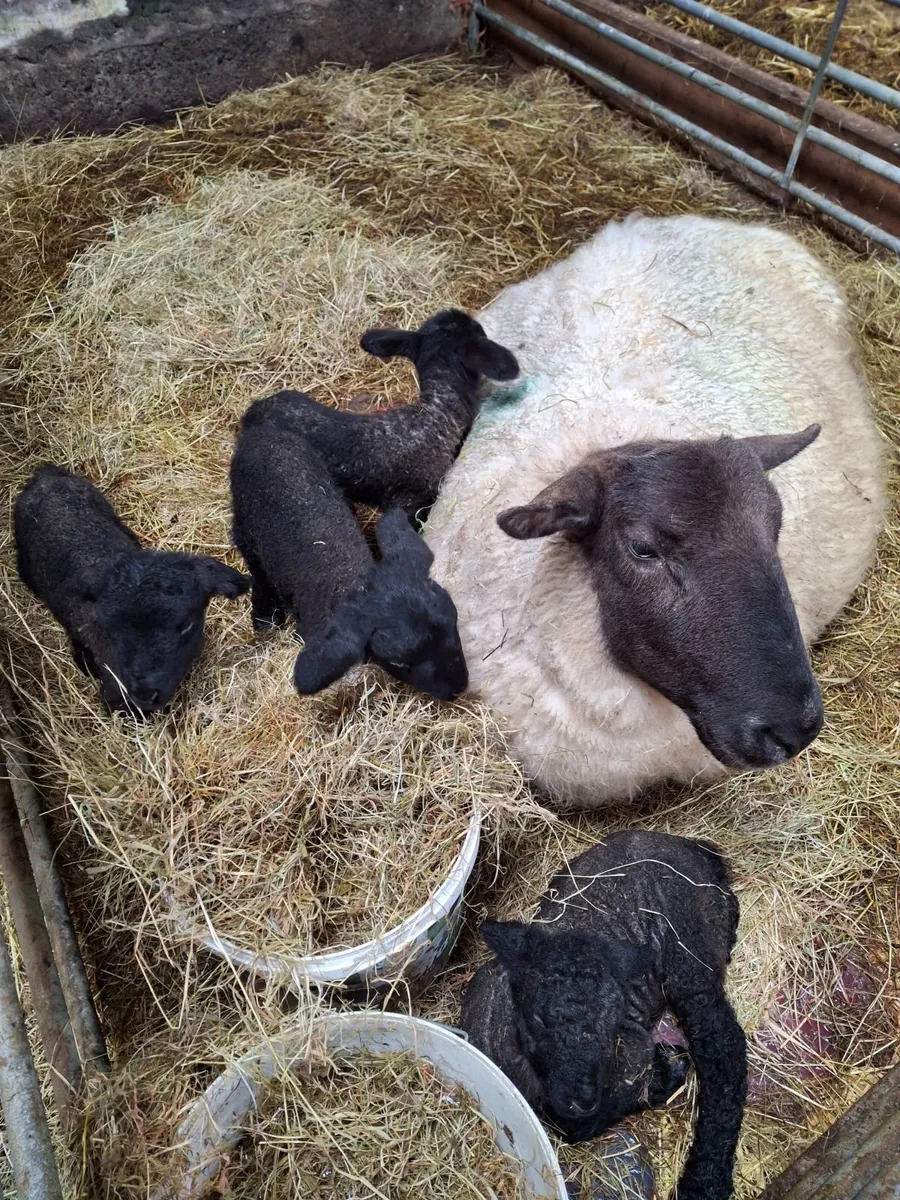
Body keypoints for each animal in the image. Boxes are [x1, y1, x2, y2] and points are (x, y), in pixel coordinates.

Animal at [230, 419, 468, 700]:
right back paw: (265, 616)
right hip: (244, 524)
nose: (458, 688)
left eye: (455, 619)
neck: (350, 576)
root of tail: (258, 435)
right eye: (398, 662)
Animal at [461, 830, 746, 1200]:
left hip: (689, 946)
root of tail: (695, 847)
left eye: (611, 1026)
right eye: (536, 1022)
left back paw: (704, 1181)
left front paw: (667, 1071)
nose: (581, 1099)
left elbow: (588, 1122)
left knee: (722, 1046)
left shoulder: (632, 1052)